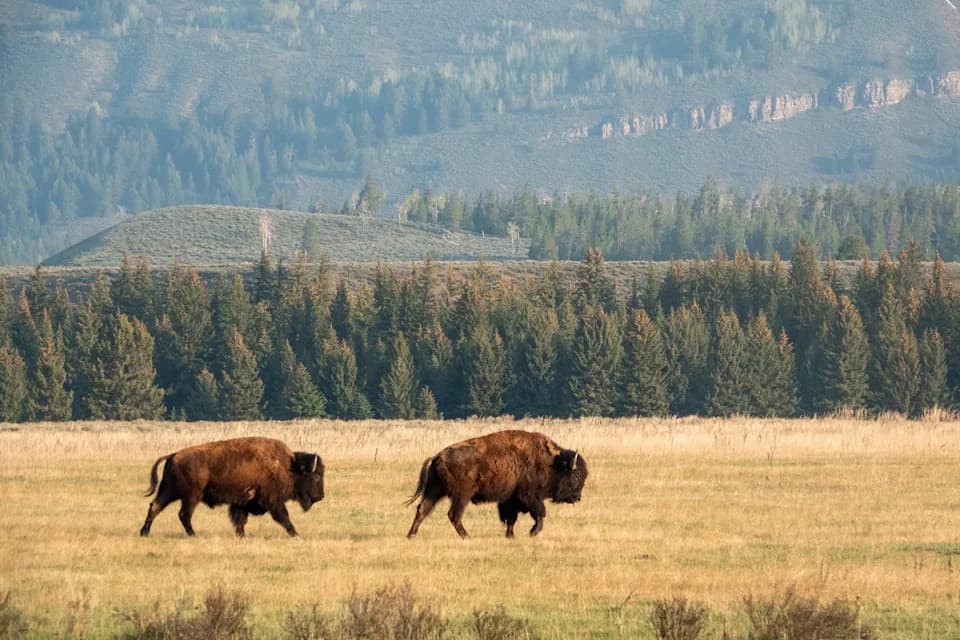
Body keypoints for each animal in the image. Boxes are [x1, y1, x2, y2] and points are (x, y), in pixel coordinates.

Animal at [139, 437, 324, 538]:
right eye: (316, 477)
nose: (321, 496)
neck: (289, 465)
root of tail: (173, 455)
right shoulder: (274, 501)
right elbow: (284, 517)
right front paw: (295, 534)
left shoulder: (241, 502)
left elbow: (240, 520)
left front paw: (242, 536)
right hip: (191, 496)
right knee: (184, 514)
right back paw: (193, 535)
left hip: (169, 492)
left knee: (155, 506)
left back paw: (144, 532)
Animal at [405, 430, 587, 539]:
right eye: (577, 476)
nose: (578, 497)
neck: (551, 461)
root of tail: (437, 456)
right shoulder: (529, 496)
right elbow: (540, 513)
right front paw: (533, 532)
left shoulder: (510, 499)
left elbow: (511, 519)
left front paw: (510, 536)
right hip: (462, 495)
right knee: (454, 515)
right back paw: (467, 537)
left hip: (435, 490)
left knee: (422, 509)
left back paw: (411, 535)